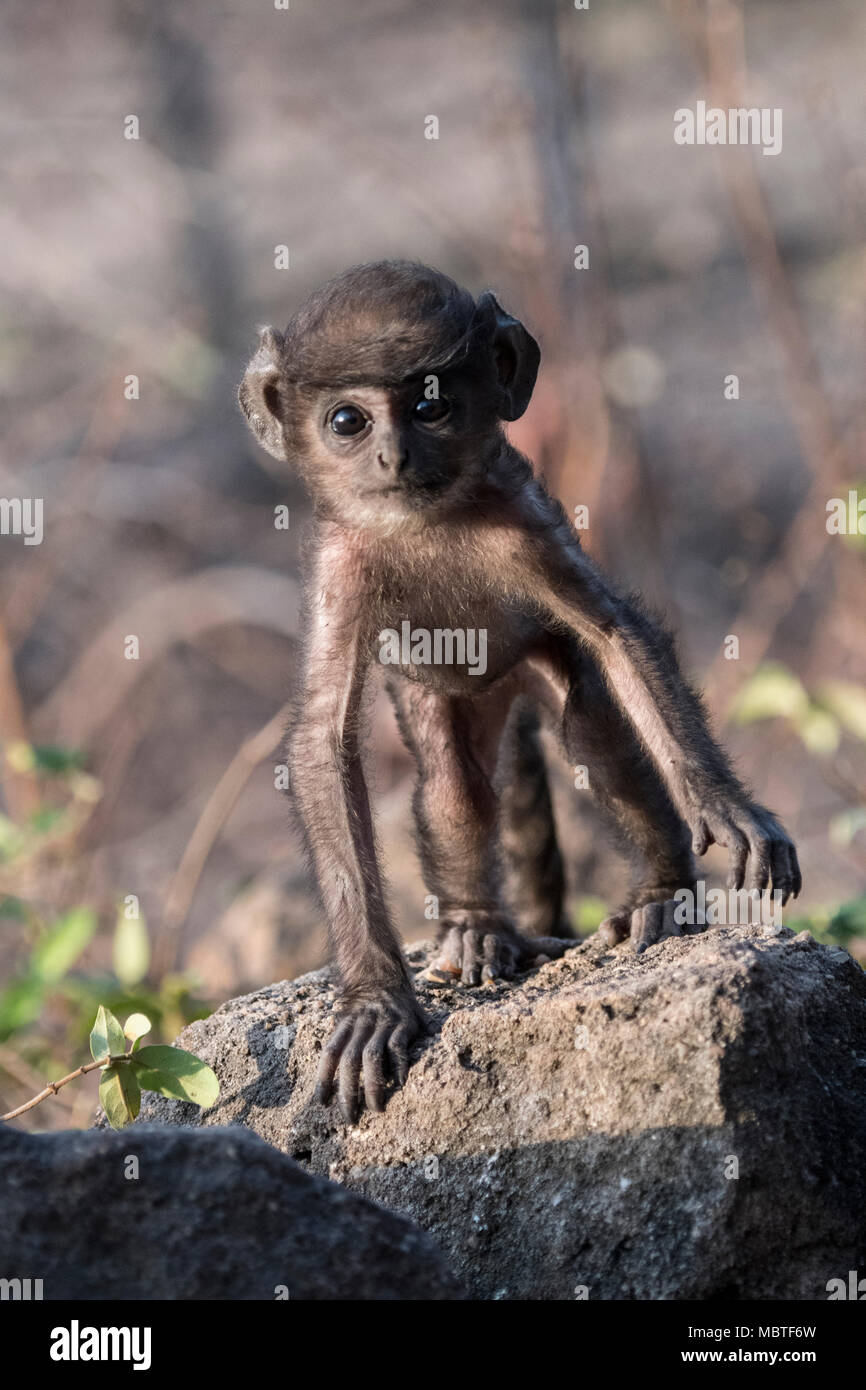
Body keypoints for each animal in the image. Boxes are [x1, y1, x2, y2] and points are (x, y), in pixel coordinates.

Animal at [237, 262, 800, 1128]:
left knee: (595, 731)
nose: (392, 457)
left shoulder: (522, 526)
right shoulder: (342, 565)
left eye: (431, 404)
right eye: (346, 420)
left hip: (536, 659)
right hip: (440, 693)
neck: (426, 522)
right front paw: (374, 1001)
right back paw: (475, 929)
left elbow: (618, 633)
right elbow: (323, 739)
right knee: (454, 782)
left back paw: (661, 894)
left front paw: (725, 804)